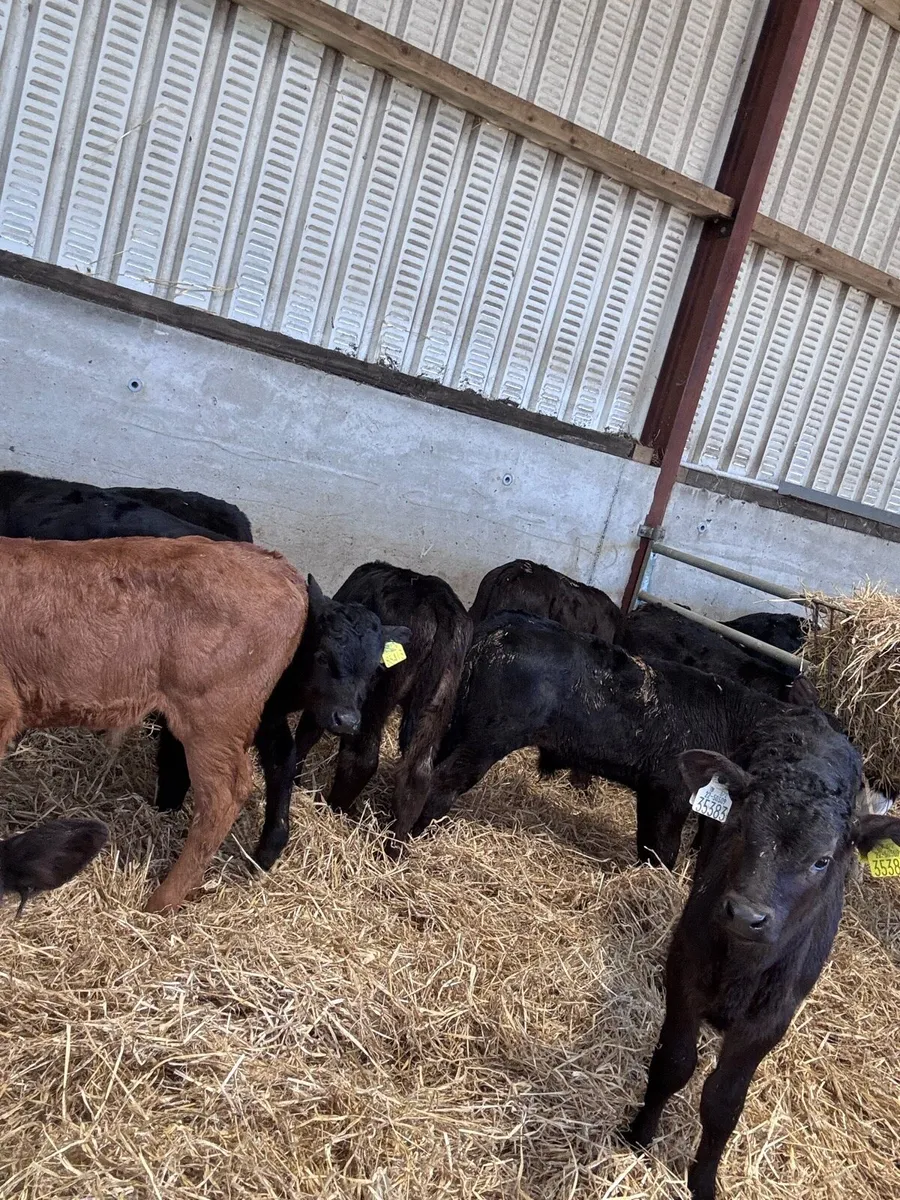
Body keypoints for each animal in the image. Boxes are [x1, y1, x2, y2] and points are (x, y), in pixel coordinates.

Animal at [257, 562, 470, 862]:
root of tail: (435, 603)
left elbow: (308, 732)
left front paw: (296, 777)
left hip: (374, 702)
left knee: (362, 758)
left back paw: (334, 806)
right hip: (439, 697)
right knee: (417, 773)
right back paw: (394, 849)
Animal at [621, 739, 898, 1200]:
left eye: (822, 861)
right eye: (742, 829)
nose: (746, 914)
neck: (741, 966)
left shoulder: (770, 1020)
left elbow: (723, 1101)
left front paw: (702, 1182)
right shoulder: (684, 974)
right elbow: (672, 1064)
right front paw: (639, 1138)